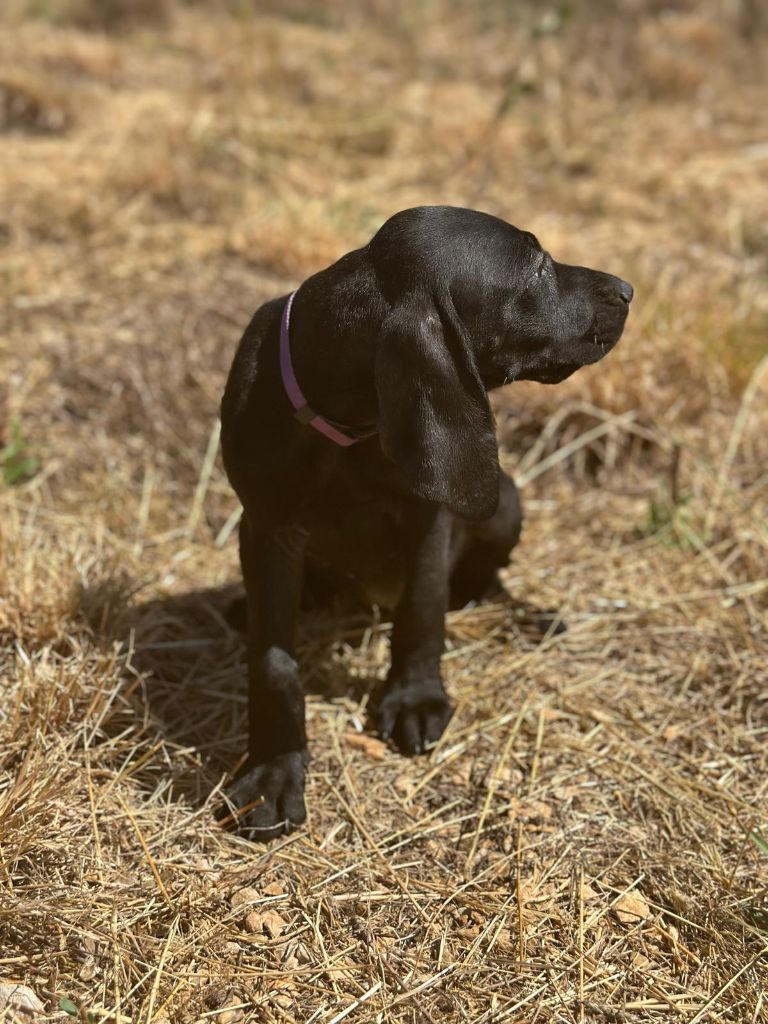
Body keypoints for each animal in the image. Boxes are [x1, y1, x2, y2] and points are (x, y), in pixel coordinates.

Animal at [218, 203, 630, 835]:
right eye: (536, 265)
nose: (628, 290)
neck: (349, 427)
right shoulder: (267, 527)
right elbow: (274, 663)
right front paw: (272, 772)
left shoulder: (429, 519)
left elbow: (422, 608)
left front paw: (414, 698)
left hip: (506, 503)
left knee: (482, 583)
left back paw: (527, 616)